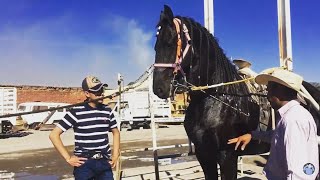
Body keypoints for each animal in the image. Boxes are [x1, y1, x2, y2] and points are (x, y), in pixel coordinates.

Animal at [152, 4, 320, 180]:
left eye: (170, 43)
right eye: (156, 46)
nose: (159, 88)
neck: (215, 100)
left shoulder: (227, 155)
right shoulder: (203, 154)